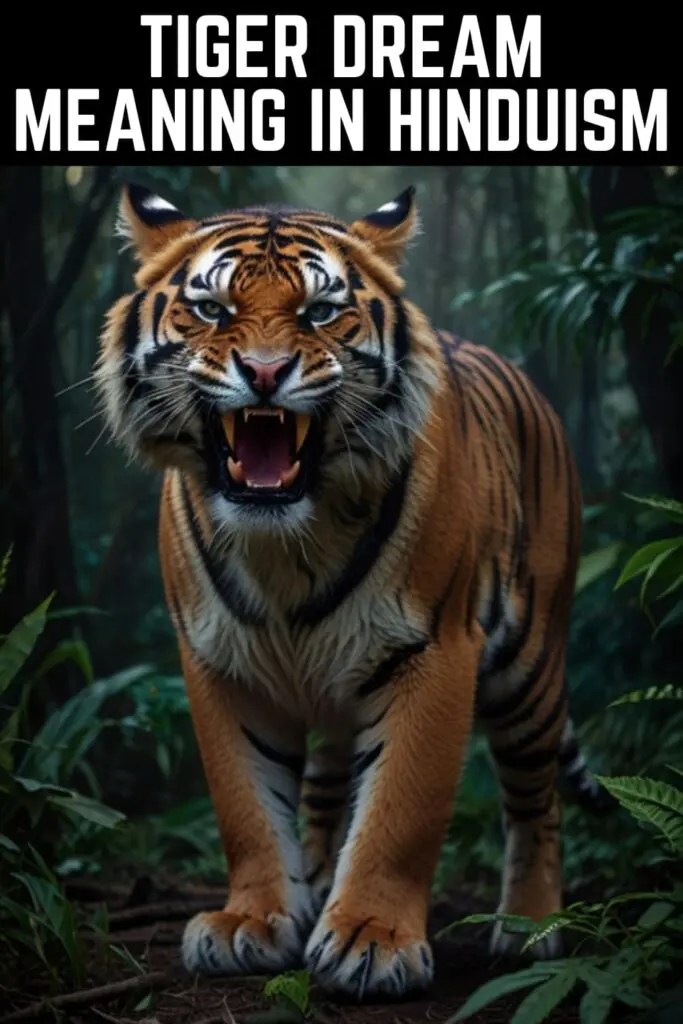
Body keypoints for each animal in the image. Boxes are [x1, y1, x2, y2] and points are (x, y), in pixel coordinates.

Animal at [95, 182, 612, 1000]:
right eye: (210, 309)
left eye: (318, 311)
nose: (264, 373)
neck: (283, 542)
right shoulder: (222, 665)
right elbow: (247, 807)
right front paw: (253, 921)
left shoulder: (434, 650)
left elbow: (401, 809)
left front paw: (372, 939)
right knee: (321, 792)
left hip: (529, 668)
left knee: (536, 799)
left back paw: (529, 928)